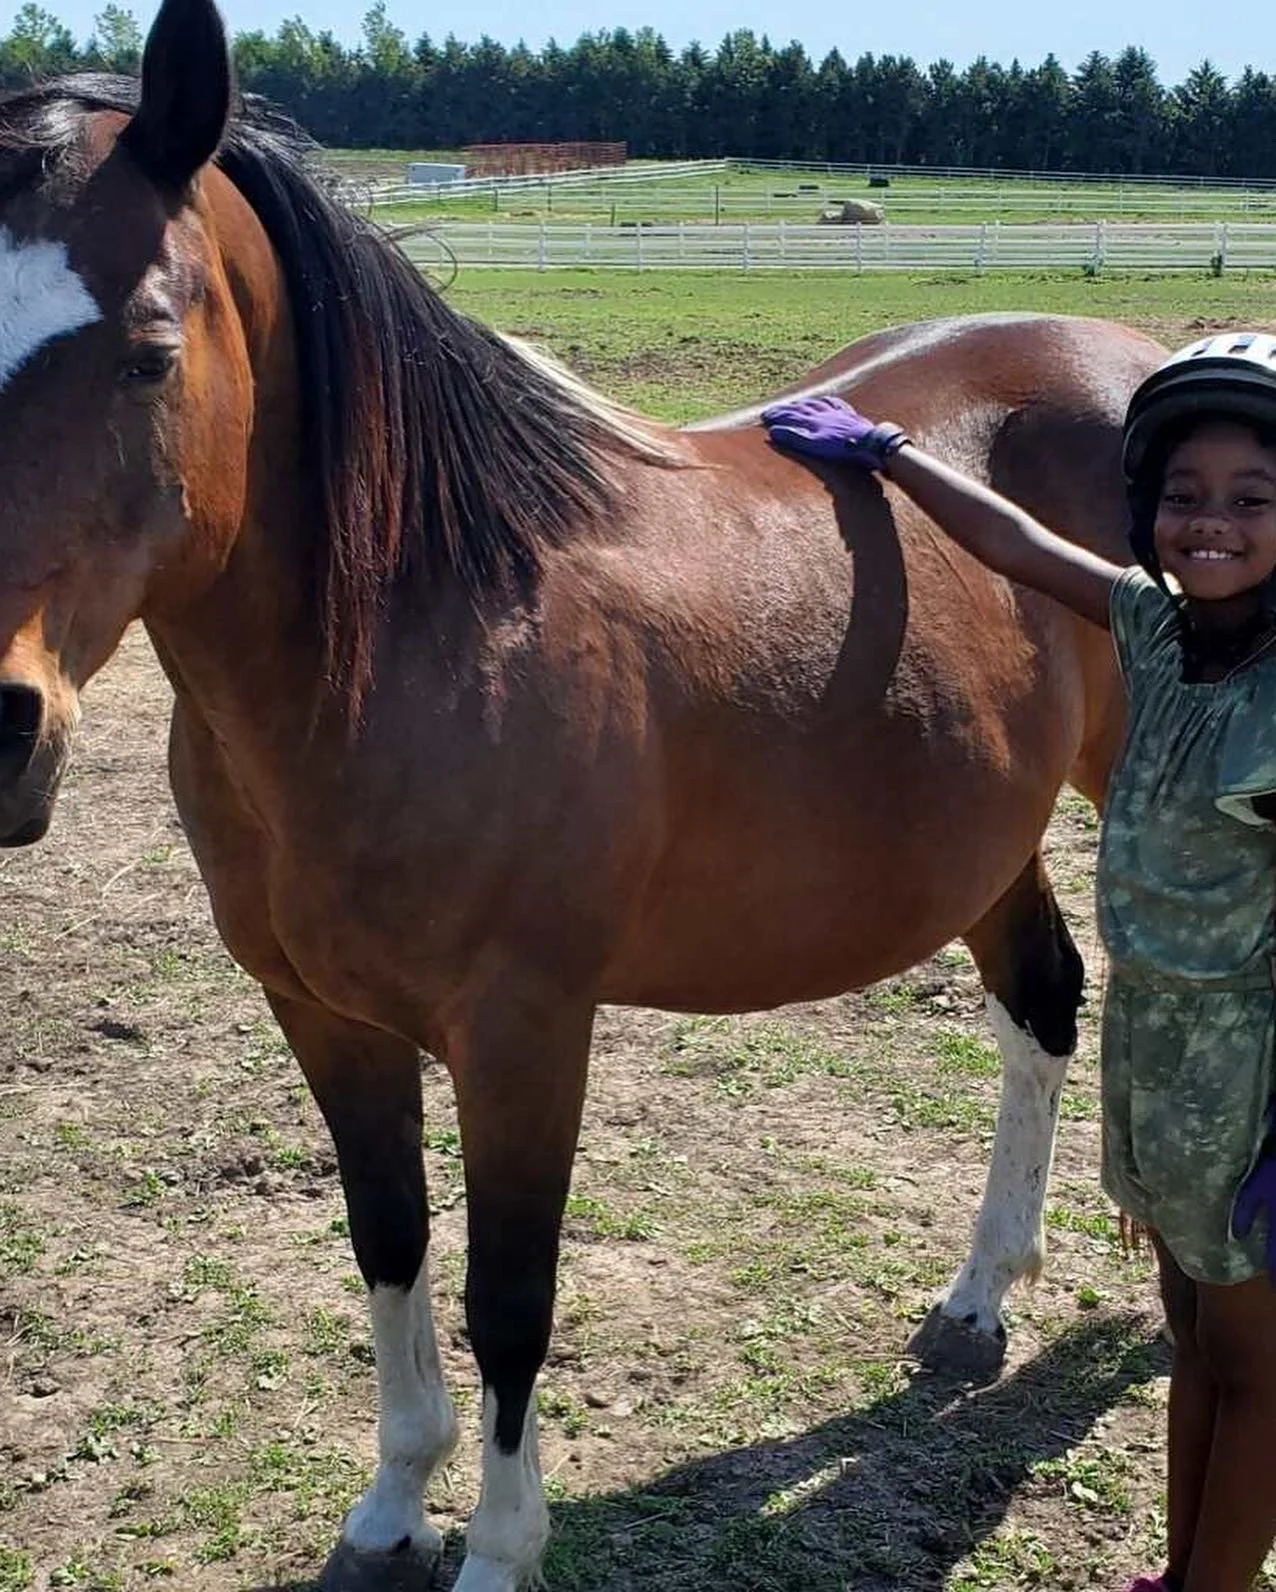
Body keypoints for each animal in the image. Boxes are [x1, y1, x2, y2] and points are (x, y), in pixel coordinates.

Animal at [0, 1, 1164, 1586]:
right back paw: (977, 1301)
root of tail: (1142, 355)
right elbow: (388, 1245)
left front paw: (497, 1546)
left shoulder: (524, 1033)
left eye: (147, 355)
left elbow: (511, 1296)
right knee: (1043, 999)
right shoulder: (322, 1015)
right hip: (985, 839)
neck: (419, 630)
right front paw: (390, 1507)